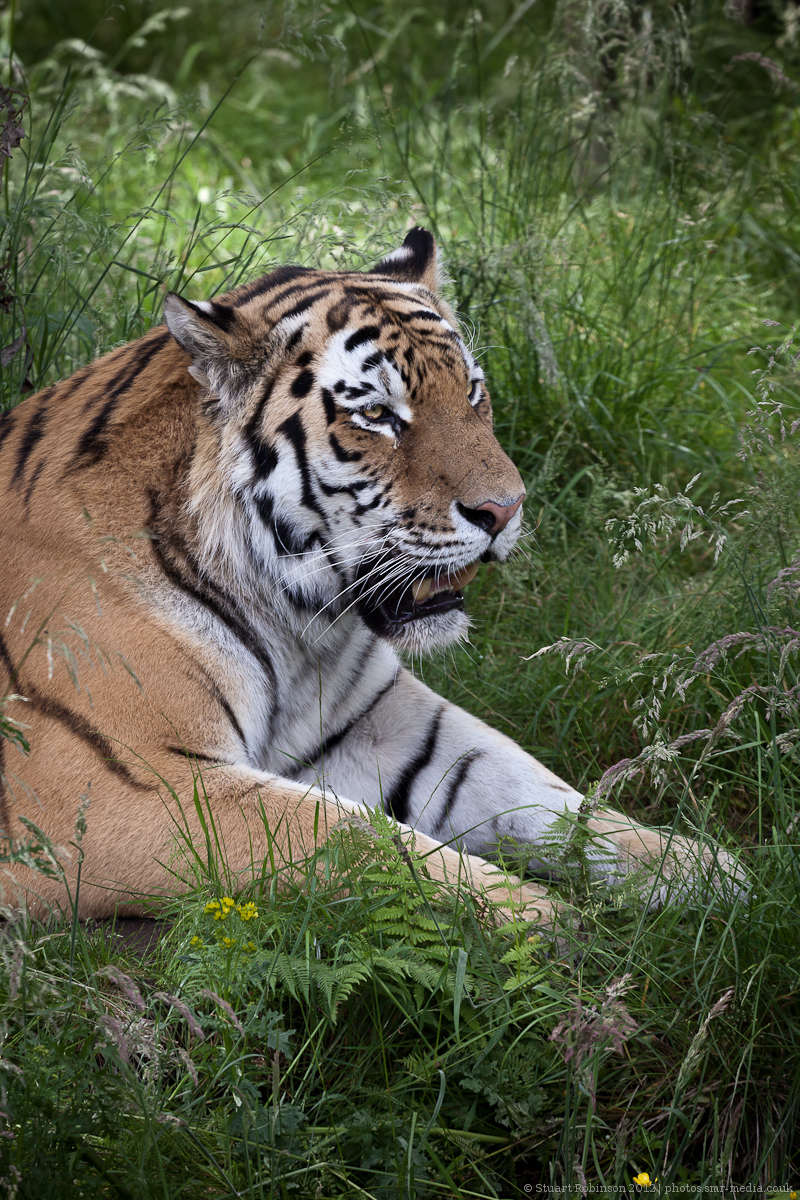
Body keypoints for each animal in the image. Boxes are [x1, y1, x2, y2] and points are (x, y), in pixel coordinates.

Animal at [0, 226, 737, 921]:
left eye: (473, 392)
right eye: (377, 415)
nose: (504, 510)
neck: (299, 629)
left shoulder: (380, 719)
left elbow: (540, 793)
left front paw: (699, 869)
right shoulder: (128, 787)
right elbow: (352, 836)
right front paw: (540, 919)